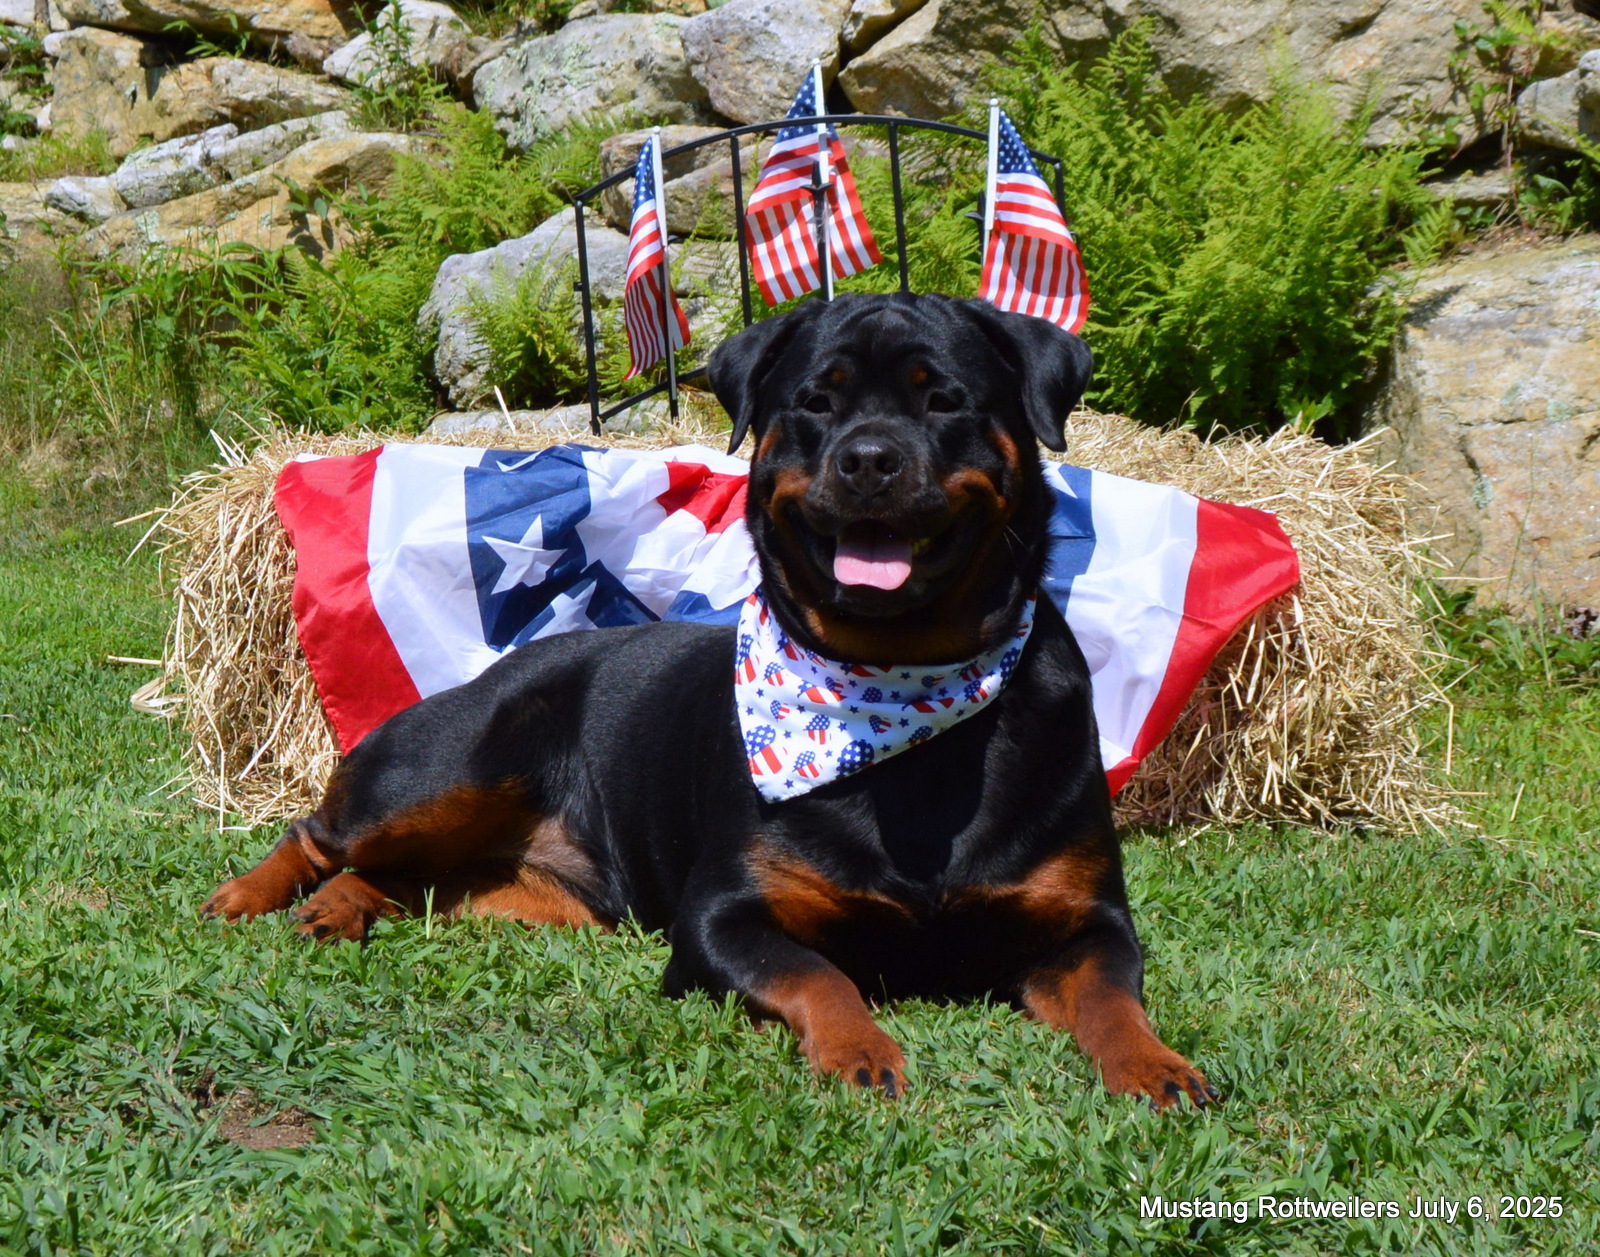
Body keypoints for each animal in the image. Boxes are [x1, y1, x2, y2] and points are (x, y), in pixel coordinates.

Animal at [203, 292, 1214, 1109]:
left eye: (944, 399)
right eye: (816, 402)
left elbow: (1113, 995)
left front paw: (1155, 1063)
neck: (899, 687)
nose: (869, 459)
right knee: (322, 832)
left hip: (533, 893)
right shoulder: (721, 917)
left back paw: (342, 907)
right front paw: (859, 1050)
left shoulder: (1086, 920)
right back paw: (249, 895)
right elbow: (821, 975)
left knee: (408, 879)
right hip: (454, 764)